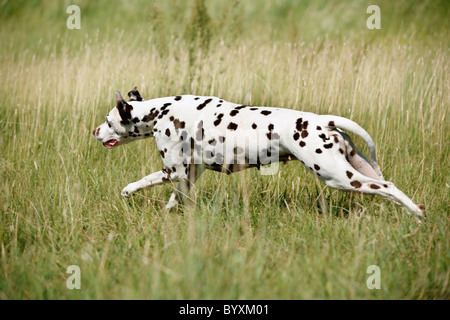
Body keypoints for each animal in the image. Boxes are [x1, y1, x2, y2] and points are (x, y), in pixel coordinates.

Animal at [92, 89, 426, 221]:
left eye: (108, 120)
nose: (94, 131)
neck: (161, 111)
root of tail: (323, 120)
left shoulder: (172, 171)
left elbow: (138, 183)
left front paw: (127, 191)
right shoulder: (189, 174)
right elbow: (177, 198)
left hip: (338, 177)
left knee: (387, 188)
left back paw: (418, 215)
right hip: (355, 169)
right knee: (389, 186)